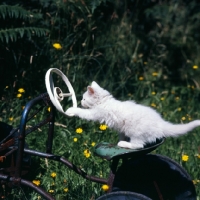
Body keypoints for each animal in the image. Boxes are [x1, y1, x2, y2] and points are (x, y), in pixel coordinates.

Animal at [66, 81, 200, 148]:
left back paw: (124, 144)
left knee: (138, 145)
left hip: (135, 131)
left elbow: (82, 112)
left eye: (84, 99)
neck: (105, 102)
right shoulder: (121, 127)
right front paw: (120, 139)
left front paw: (71, 109)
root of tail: (160, 124)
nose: (81, 102)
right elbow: (121, 134)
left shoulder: (94, 113)